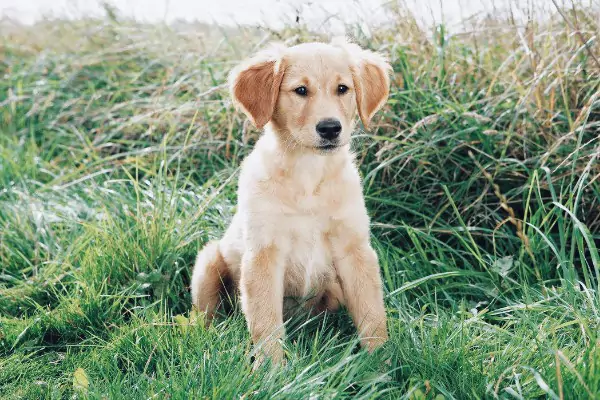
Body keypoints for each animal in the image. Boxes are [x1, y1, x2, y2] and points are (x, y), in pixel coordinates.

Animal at [190, 37, 392, 366]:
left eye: (342, 88)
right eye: (300, 90)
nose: (330, 128)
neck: (308, 172)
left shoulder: (355, 250)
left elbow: (372, 314)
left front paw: (382, 363)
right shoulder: (263, 254)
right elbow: (266, 322)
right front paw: (271, 370)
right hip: (207, 262)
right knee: (207, 315)